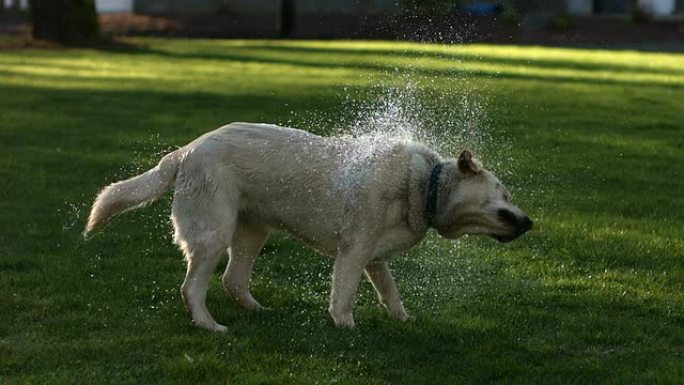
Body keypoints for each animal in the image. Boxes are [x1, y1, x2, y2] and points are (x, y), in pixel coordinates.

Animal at [85, 122, 536, 330]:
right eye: (506, 194)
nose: (531, 222)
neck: (425, 186)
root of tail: (184, 152)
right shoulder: (354, 252)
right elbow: (344, 296)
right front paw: (346, 327)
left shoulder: (374, 259)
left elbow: (390, 292)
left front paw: (402, 319)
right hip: (214, 233)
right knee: (192, 288)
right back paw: (211, 326)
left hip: (253, 231)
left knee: (233, 279)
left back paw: (258, 311)